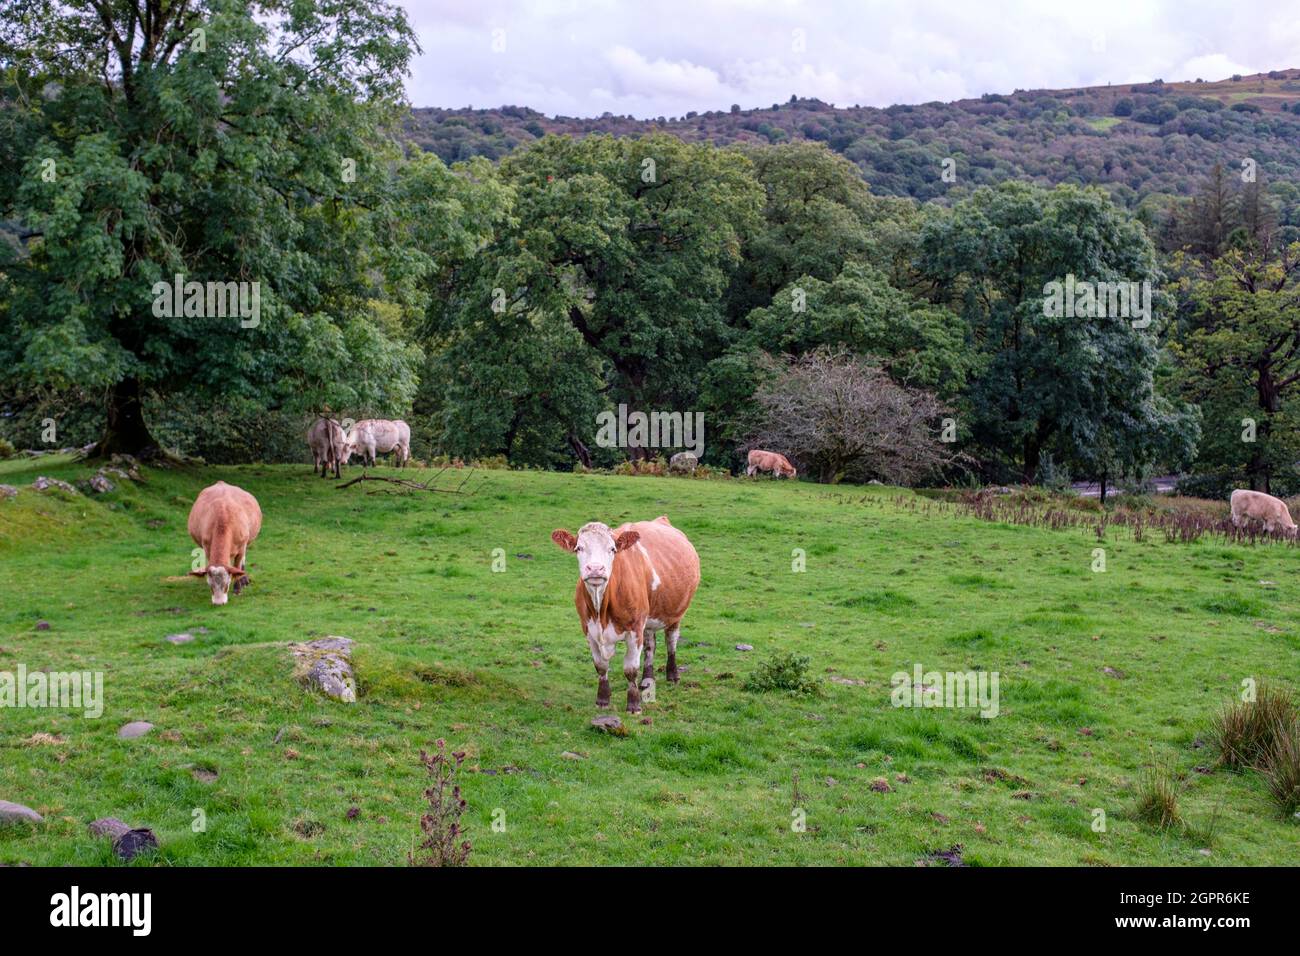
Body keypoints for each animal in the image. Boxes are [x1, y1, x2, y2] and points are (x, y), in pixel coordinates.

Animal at [553, 515, 707, 712]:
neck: (601, 612)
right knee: (650, 645)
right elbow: (601, 666)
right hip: (648, 618)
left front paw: (634, 705)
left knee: (671, 640)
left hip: (676, 612)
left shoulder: (634, 629)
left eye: (612, 549)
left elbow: (630, 669)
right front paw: (602, 699)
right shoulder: (589, 630)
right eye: (579, 548)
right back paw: (647, 680)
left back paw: (672, 675)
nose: (595, 569)